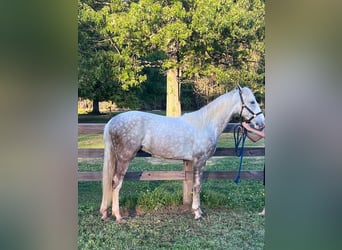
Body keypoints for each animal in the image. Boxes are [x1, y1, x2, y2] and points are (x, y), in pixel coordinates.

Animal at [99, 85, 264, 222]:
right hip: (124, 158)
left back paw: (106, 213)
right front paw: (197, 213)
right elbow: (197, 186)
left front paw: (198, 211)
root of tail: (112, 121)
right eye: (252, 102)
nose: (261, 124)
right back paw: (118, 216)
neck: (205, 124)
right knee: (116, 183)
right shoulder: (200, 160)